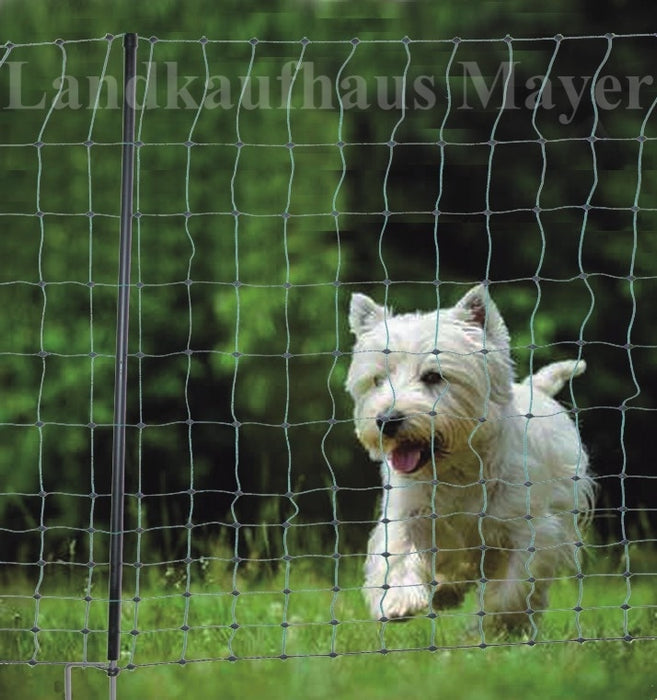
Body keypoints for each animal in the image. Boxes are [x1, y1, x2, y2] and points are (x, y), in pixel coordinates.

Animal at [348, 284, 596, 628]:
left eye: (433, 376)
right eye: (377, 380)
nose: (386, 420)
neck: (455, 469)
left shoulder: (529, 527)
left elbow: (515, 586)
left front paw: (498, 623)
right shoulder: (408, 513)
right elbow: (397, 552)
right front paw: (398, 601)